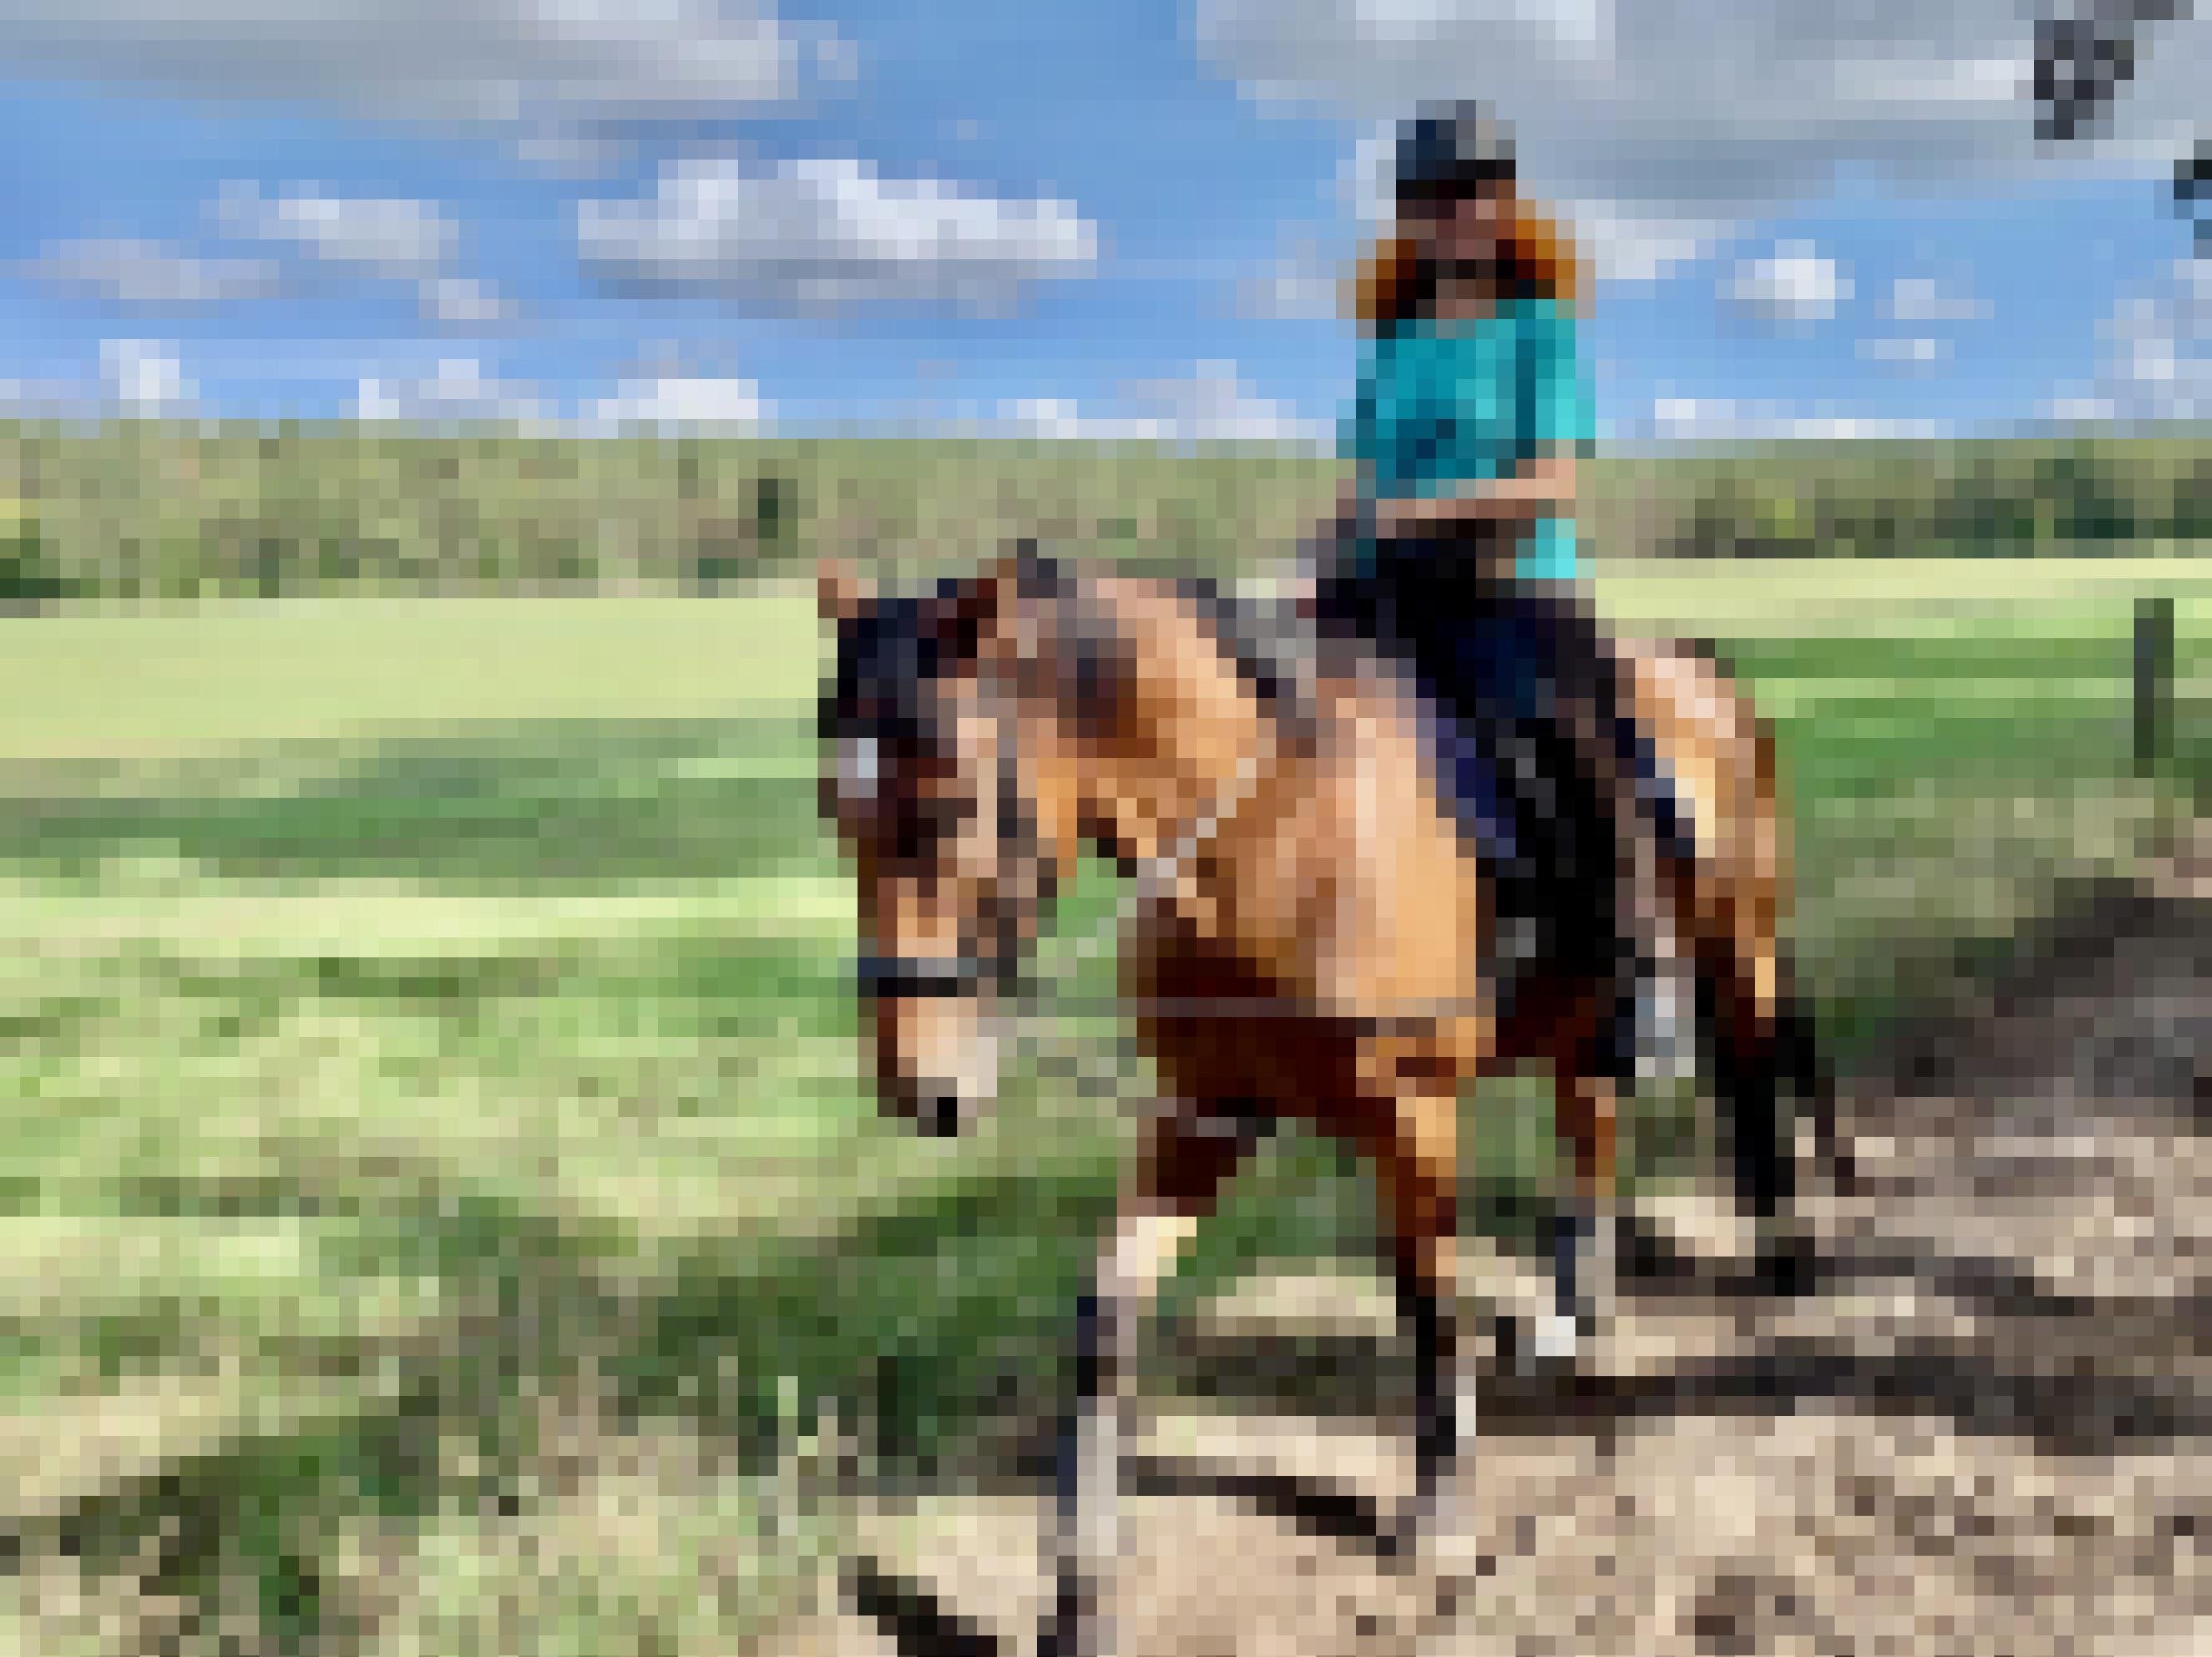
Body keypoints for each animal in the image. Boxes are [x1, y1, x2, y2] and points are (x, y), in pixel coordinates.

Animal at [822, 553, 1840, 1655]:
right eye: (838, 813)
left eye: (952, 804)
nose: (919, 1086)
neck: (1275, 842)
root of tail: (1697, 672)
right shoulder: (1200, 1112)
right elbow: (1106, 1314)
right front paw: (1078, 1590)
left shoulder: (1413, 1116)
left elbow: (1426, 1300)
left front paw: (1438, 1512)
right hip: (1580, 1021)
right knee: (1594, 1128)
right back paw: (1579, 1314)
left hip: (1738, 943)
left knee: (1750, 1079)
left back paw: (1787, 1254)